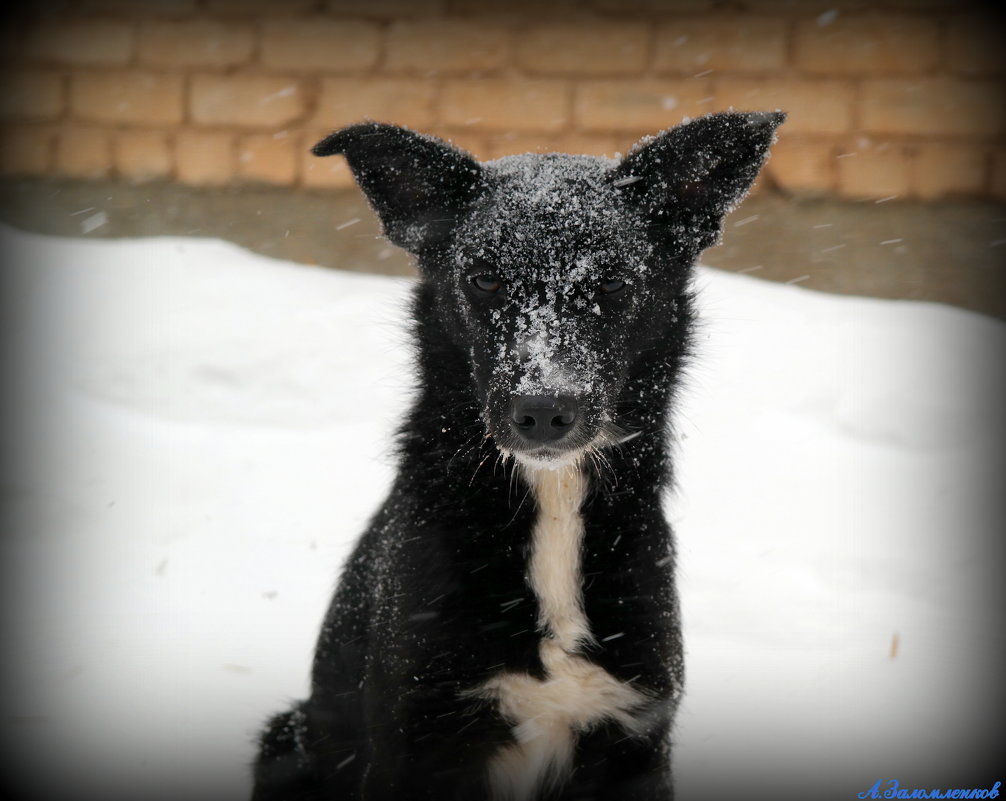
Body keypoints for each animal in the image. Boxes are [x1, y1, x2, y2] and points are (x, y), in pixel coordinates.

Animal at [251, 108, 784, 801]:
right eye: (484, 278)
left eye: (613, 282)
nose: (543, 411)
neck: (552, 496)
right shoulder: (417, 741)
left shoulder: (637, 740)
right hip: (285, 738)